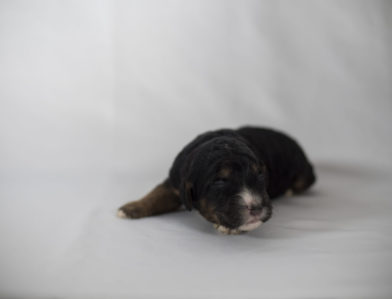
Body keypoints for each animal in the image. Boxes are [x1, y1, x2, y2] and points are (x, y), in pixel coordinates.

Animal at [117, 126, 316, 234]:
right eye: (220, 181)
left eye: (260, 175)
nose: (257, 207)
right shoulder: (174, 182)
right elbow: (156, 193)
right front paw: (130, 208)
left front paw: (231, 228)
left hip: (303, 172)